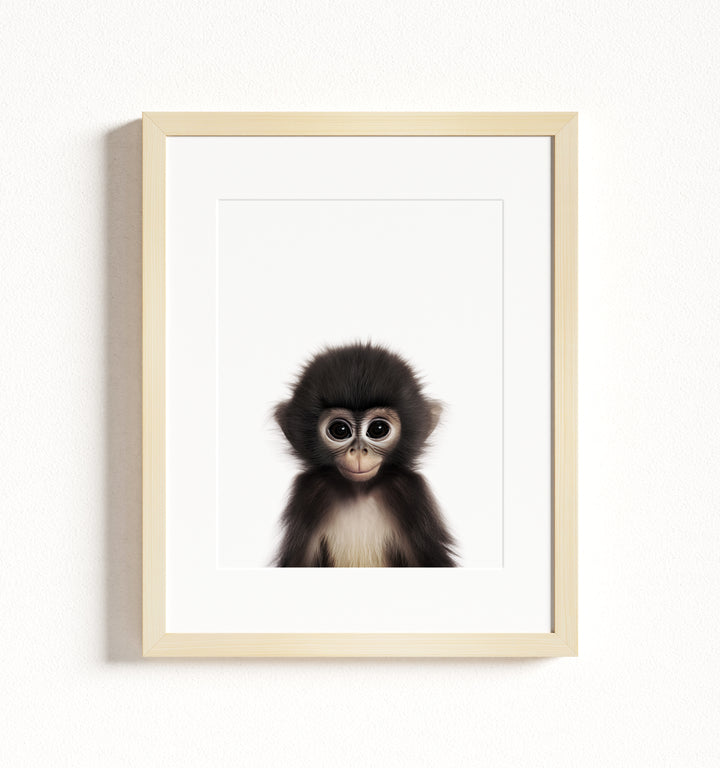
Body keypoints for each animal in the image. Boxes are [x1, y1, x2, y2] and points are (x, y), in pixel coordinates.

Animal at [273, 343, 457, 567]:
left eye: (378, 429)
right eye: (340, 430)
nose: (359, 452)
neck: (359, 492)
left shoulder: (410, 491)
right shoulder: (309, 492)